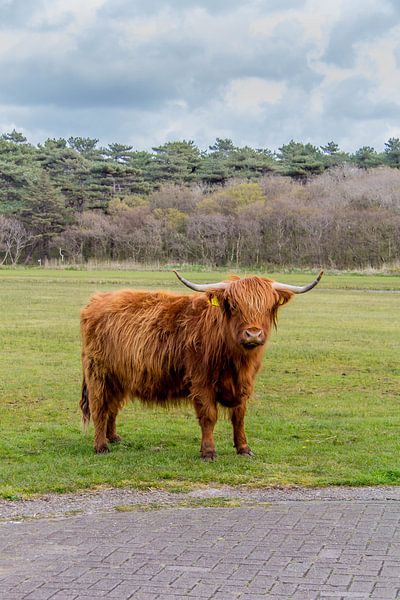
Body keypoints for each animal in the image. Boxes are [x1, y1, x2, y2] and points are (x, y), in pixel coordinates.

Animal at [80, 272, 322, 460]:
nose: (253, 334)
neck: (235, 358)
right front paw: (208, 451)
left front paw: (244, 448)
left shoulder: (244, 384)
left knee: (112, 406)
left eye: (268, 306)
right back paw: (101, 446)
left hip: (119, 377)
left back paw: (114, 437)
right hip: (99, 373)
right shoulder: (201, 382)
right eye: (234, 305)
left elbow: (239, 416)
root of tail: (96, 300)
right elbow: (209, 416)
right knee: (99, 406)